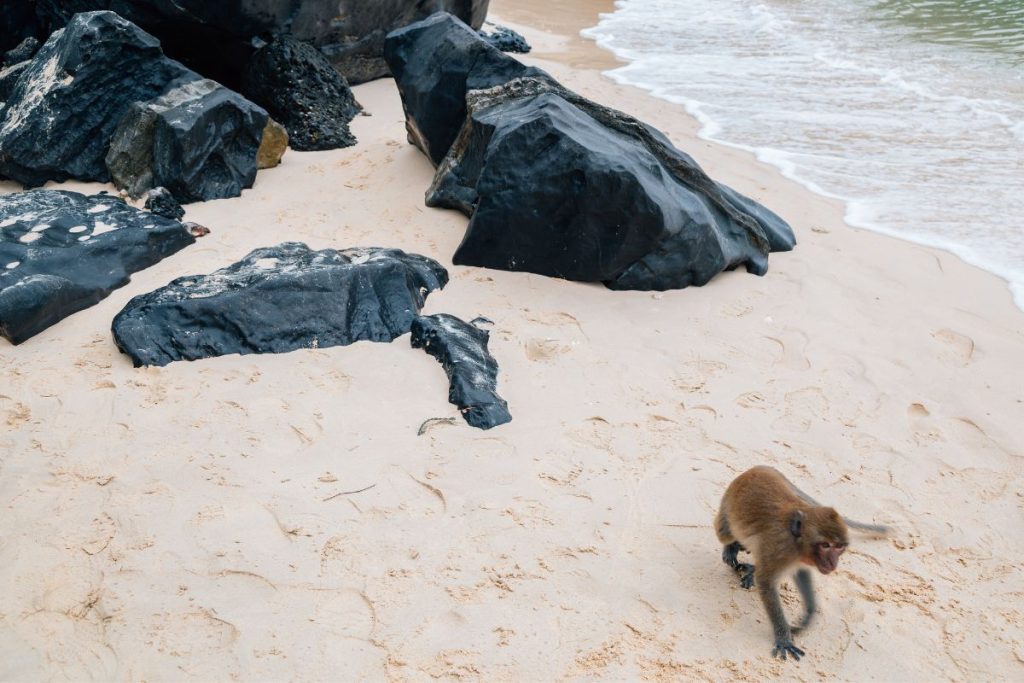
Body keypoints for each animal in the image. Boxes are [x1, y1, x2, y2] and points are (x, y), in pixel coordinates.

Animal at [714, 466, 889, 661]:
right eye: (825, 545)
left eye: (839, 547)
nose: (833, 563)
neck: (796, 542)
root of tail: (761, 468)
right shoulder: (779, 548)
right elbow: (766, 583)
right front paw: (784, 638)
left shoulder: (799, 559)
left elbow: (800, 574)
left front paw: (807, 617)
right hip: (728, 503)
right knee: (725, 532)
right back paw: (733, 546)